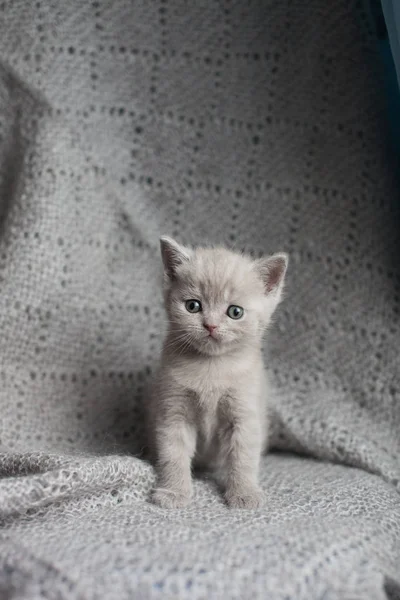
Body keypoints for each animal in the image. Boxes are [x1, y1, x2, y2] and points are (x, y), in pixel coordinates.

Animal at [148, 237, 288, 508]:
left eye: (235, 312)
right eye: (193, 306)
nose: (210, 325)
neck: (211, 367)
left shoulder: (244, 414)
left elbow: (243, 458)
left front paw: (244, 493)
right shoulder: (174, 411)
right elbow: (173, 454)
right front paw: (174, 492)